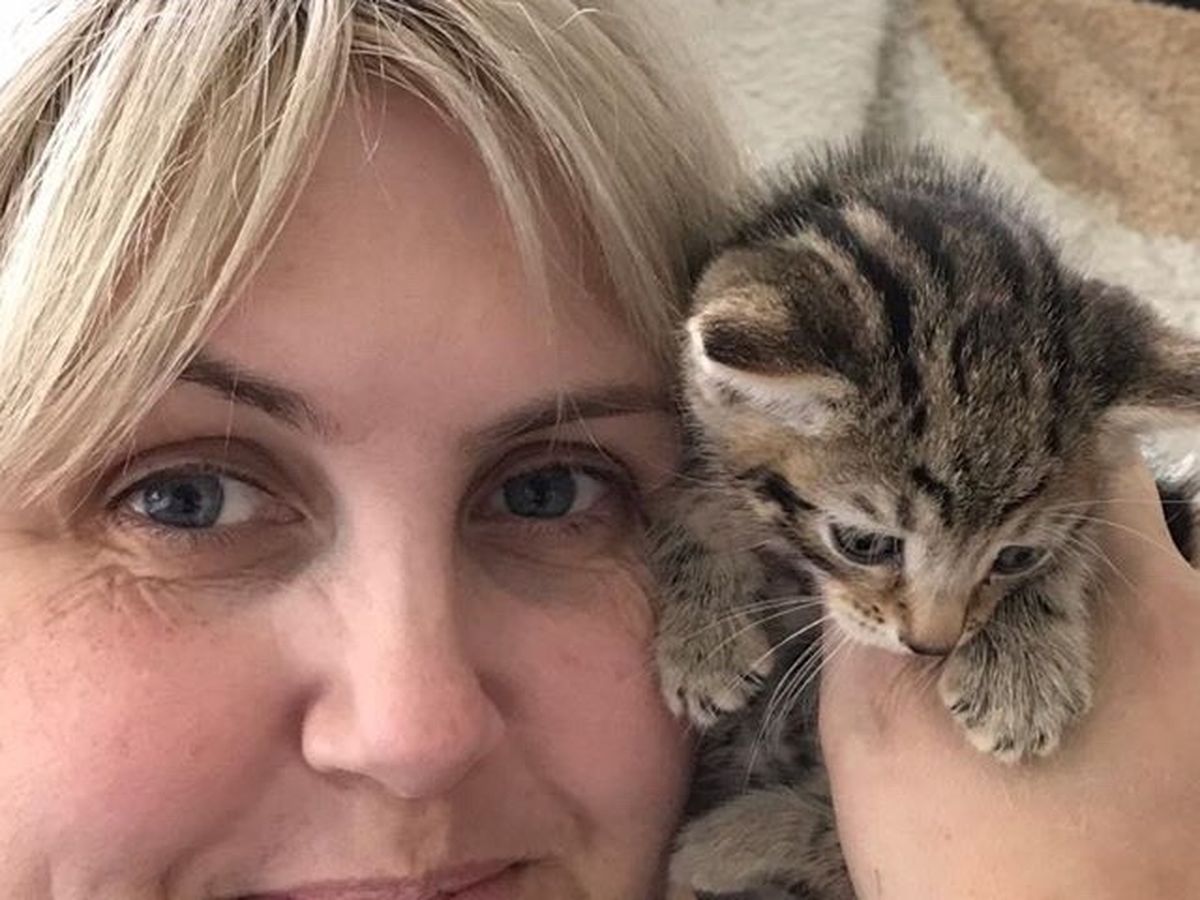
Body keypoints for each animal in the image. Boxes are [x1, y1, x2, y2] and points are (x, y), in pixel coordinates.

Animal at [650, 143, 1200, 898]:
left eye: (1016, 557)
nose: (932, 644)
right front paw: (702, 637)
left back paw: (725, 841)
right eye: (863, 543)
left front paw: (1019, 672)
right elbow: (690, 494)